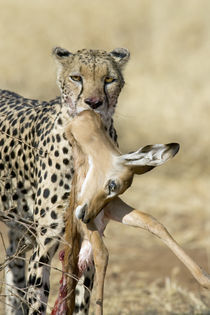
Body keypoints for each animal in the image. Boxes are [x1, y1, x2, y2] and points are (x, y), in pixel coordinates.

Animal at [0, 47, 130, 315]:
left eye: (109, 79)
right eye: (76, 77)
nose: (93, 102)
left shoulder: (87, 236)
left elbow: (81, 299)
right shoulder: (45, 242)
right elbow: (38, 298)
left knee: (13, 262)